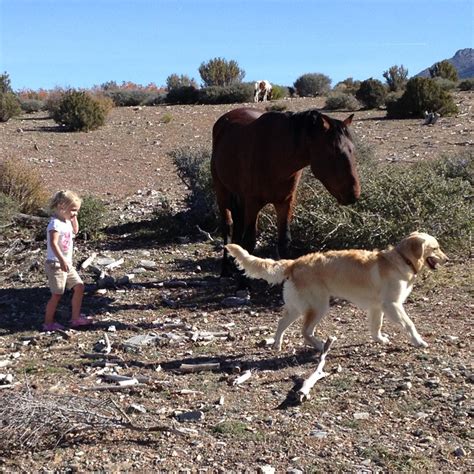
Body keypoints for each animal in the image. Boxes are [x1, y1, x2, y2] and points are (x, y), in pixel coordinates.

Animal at [210, 106, 360, 278]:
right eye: (333, 150)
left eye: (352, 149)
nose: (353, 194)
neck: (274, 155)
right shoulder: (252, 203)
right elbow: (249, 242)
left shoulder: (285, 202)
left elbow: (284, 242)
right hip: (222, 191)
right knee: (228, 226)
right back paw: (225, 269)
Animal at [226, 231, 448, 350]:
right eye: (435, 248)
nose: (447, 259)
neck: (403, 259)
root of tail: (295, 262)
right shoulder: (392, 305)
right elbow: (409, 324)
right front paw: (418, 341)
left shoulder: (377, 307)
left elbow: (376, 326)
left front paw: (379, 339)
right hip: (318, 306)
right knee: (305, 331)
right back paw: (318, 346)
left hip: (297, 307)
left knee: (282, 324)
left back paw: (278, 344)